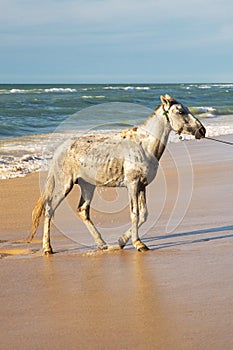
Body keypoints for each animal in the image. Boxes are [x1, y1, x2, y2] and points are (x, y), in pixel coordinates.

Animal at [29, 95, 206, 254]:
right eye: (181, 111)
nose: (202, 130)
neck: (143, 145)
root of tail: (59, 150)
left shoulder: (141, 186)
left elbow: (144, 215)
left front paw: (121, 241)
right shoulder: (132, 184)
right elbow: (135, 213)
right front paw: (138, 244)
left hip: (88, 185)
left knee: (82, 211)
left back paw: (102, 244)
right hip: (65, 184)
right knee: (50, 209)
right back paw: (47, 248)